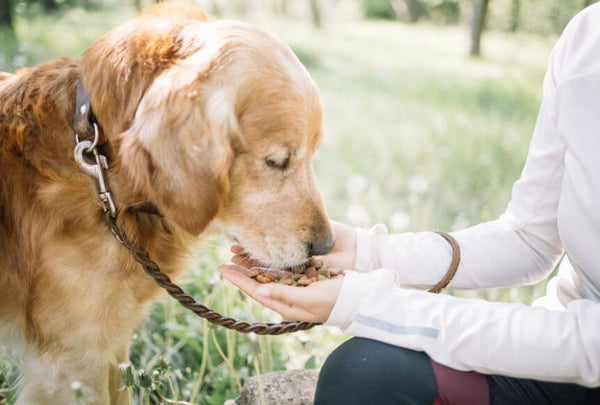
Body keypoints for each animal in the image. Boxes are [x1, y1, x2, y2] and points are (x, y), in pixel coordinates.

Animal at [0, 3, 332, 404]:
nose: (326, 246)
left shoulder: (112, 344)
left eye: (314, 153)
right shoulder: (73, 360)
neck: (100, 166)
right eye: (276, 161)